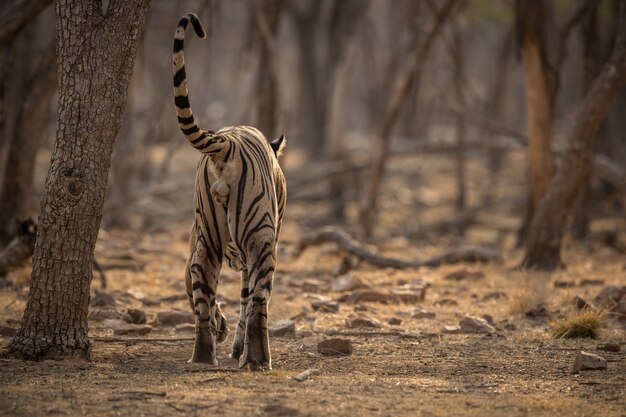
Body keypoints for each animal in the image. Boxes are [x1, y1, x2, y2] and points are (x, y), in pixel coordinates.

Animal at [172, 13, 286, 370]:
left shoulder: (196, 245)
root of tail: (226, 142)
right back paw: (258, 359)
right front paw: (239, 348)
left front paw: (223, 331)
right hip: (261, 241)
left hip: (207, 240)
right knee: (259, 302)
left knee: (201, 291)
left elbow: (193, 289)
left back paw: (203, 357)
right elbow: (248, 301)